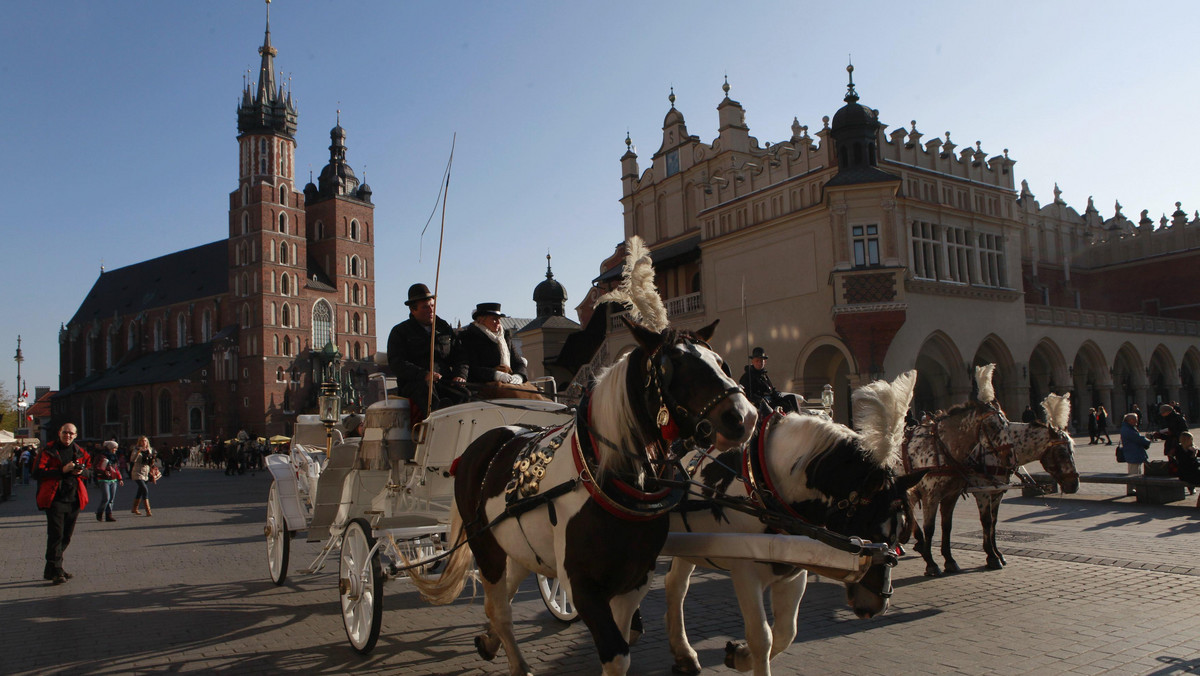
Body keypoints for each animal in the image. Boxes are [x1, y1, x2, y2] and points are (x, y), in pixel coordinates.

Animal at [408, 321, 753, 676]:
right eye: (676, 364)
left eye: (720, 362)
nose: (744, 416)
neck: (607, 477)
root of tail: (479, 444)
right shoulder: (580, 584)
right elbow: (617, 653)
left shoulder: (636, 579)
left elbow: (625, 639)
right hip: (485, 544)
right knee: (499, 607)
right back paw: (516, 662)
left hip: (518, 544)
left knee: (509, 589)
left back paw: (490, 641)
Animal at [662, 372, 921, 672]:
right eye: (871, 529)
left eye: (900, 536)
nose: (877, 606)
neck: (765, 485)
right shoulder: (744, 571)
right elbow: (762, 637)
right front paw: (747, 654)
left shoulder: (794, 572)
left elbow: (786, 633)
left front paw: (739, 656)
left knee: (675, 585)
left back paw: (684, 653)